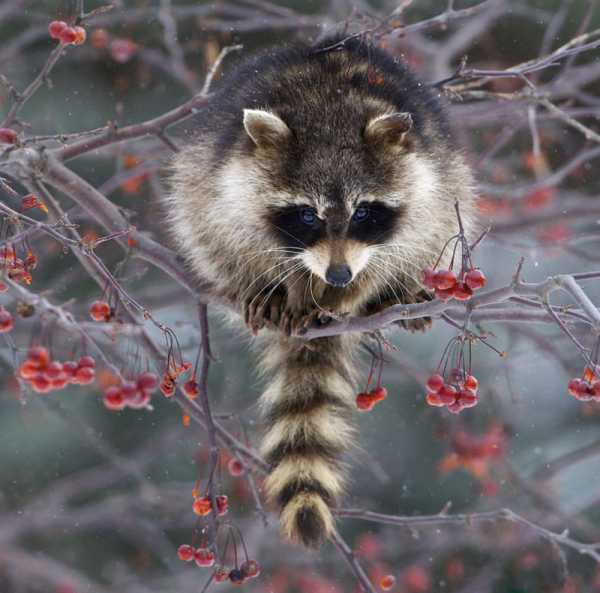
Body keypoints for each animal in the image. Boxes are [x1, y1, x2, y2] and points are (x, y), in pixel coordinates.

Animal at [166, 35, 476, 544]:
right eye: (307, 215)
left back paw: (395, 294)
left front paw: (360, 292)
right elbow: (232, 231)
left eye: (363, 213)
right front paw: (279, 286)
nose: (337, 277)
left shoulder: (426, 185)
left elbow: (404, 241)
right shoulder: (225, 184)